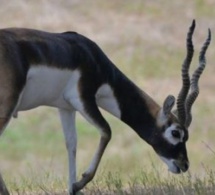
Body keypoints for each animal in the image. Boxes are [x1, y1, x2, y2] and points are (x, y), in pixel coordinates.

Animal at [0, 19, 210, 193]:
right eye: (176, 132)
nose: (184, 164)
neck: (93, 58)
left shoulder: (66, 108)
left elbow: (71, 144)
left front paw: (72, 188)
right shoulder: (82, 98)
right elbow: (107, 131)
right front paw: (79, 183)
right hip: (7, 105)